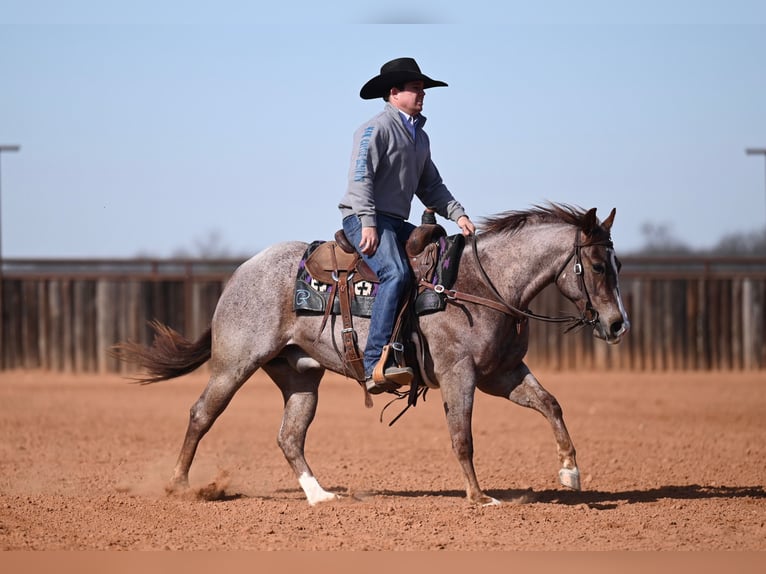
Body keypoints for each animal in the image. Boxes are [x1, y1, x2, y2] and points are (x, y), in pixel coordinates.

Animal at [113, 203, 630, 506]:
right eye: (596, 264)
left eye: (618, 263)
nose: (617, 324)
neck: (480, 284)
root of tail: (241, 271)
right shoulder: (460, 374)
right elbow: (462, 437)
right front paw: (479, 498)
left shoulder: (501, 374)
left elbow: (551, 405)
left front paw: (570, 472)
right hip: (233, 365)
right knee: (202, 414)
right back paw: (180, 486)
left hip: (300, 377)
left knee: (289, 436)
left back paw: (320, 496)